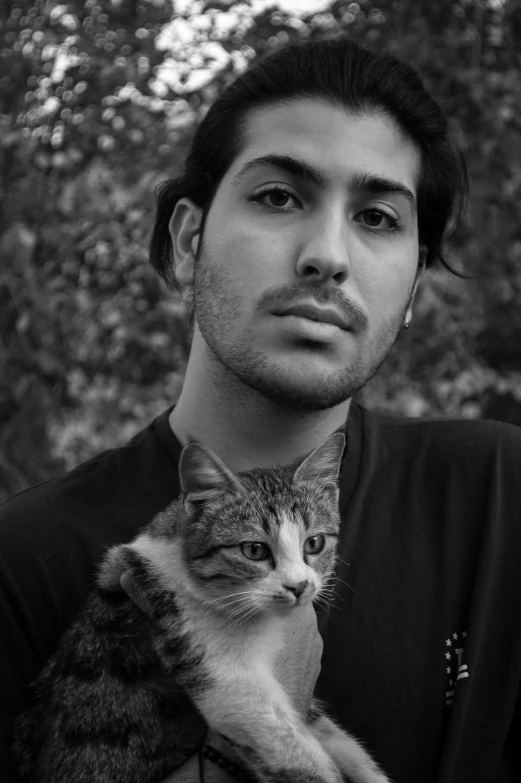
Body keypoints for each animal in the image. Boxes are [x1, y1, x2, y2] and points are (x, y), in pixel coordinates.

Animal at [12, 432, 388, 783]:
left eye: (314, 543)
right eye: (254, 550)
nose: (299, 586)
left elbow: (329, 732)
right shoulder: (208, 655)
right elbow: (289, 745)